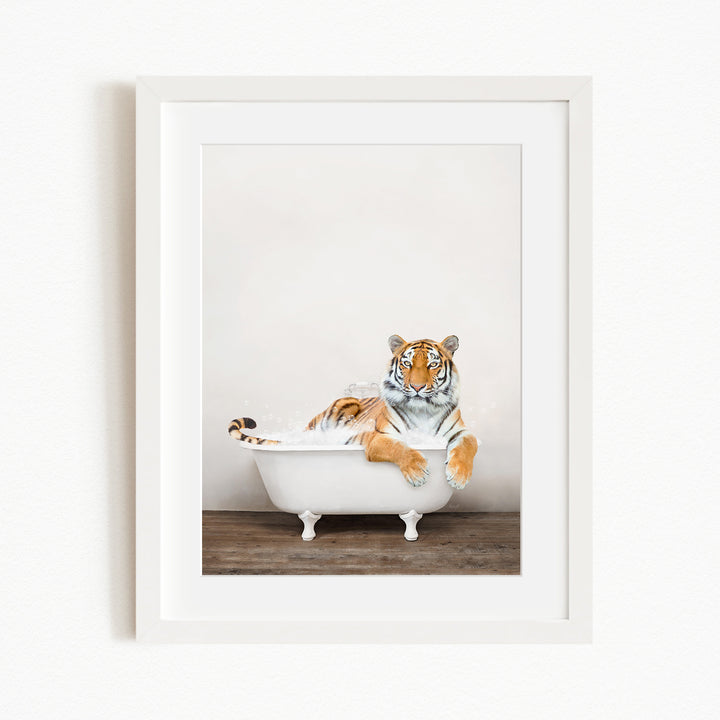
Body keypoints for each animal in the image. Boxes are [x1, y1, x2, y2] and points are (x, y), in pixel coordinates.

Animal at [228, 334, 478, 489]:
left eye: (432, 364)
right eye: (407, 364)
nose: (417, 387)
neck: (422, 410)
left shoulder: (461, 432)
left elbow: (469, 444)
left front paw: (458, 476)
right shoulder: (379, 438)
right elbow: (399, 447)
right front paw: (417, 472)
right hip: (344, 404)